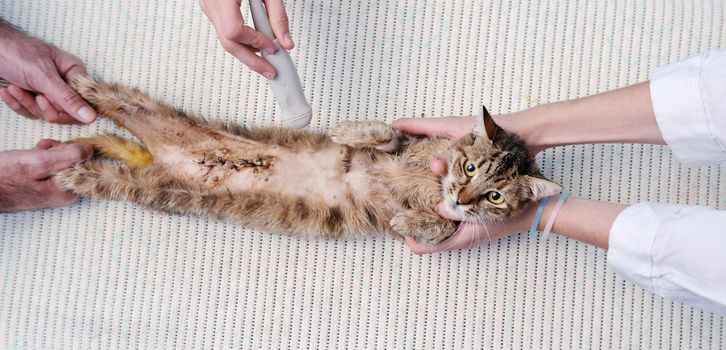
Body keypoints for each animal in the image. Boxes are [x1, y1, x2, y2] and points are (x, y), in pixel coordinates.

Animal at [17, 78, 564, 245]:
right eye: (470, 168)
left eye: (495, 196)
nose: (463, 196)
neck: (435, 185)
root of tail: (159, 152)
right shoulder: (412, 140)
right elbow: (387, 134)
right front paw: (350, 131)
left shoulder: (448, 228)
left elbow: (441, 228)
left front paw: (415, 220)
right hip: (147, 113)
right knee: (115, 99)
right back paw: (76, 85)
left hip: (155, 190)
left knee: (112, 175)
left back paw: (77, 168)